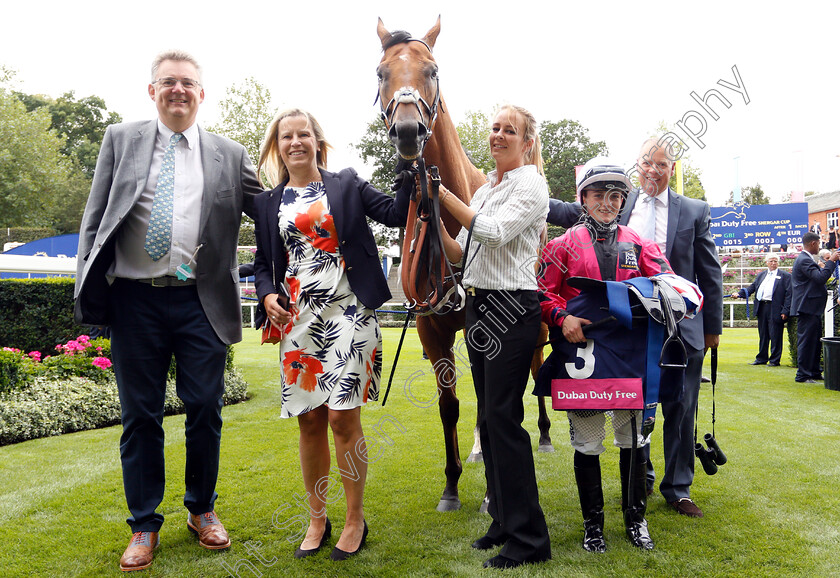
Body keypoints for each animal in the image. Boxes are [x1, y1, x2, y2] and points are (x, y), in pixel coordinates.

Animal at [378, 16, 556, 508]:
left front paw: (494, 493)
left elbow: (491, 397)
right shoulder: (431, 328)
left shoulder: (487, 329)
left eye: (432, 70)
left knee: (535, 369)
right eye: (381, 72)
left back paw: (545, 435)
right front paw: (452, 484)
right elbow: (451, 405)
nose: (407, 131)